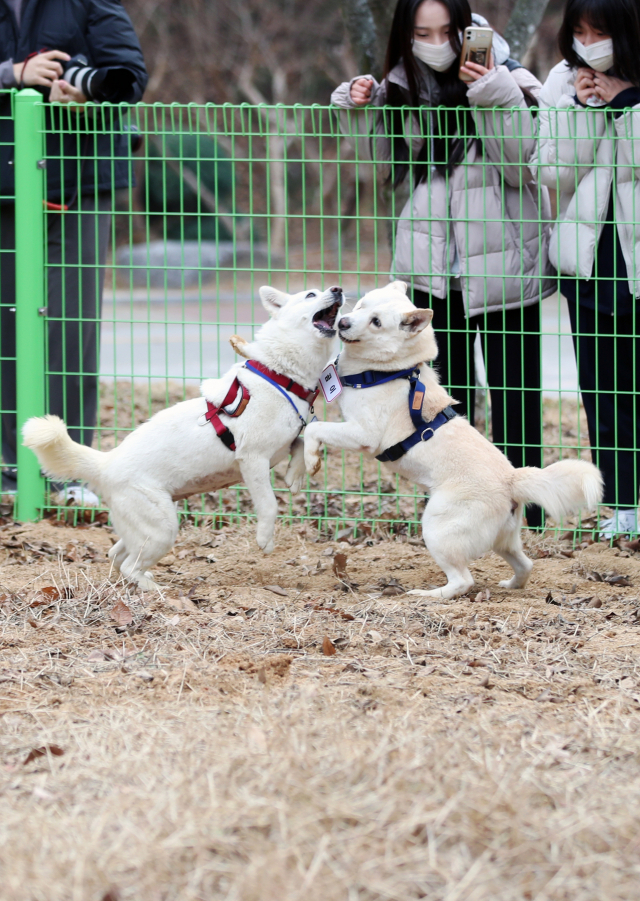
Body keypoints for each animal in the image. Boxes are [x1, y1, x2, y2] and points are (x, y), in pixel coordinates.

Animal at [23, 284, 344, 588]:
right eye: (311, 294)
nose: (338, 290)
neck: (281, 375)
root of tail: (105, 463)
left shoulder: (286, 438)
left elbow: (301, 439)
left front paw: (296, 474)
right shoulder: (252, 459)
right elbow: (270, 503)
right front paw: (265, 539)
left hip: (146, 526)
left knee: (117, 555)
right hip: (162, 528)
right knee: (128, 565)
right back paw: (155, 590)